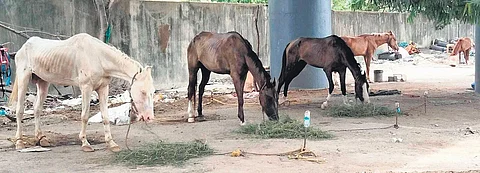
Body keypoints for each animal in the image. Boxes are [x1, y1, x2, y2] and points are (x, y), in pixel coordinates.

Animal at [7, 33, 156, 152]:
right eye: (143, 92)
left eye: (152, 92)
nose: (149, 117)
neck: (98, 57)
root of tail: (22, 49)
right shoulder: (86, 88)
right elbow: (84, 116)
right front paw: (85, 143)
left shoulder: (103, 88)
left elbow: (105, 116)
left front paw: (111, 143)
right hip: (23, 78)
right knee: (19, 110)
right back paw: (19, 142)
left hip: (43, 82)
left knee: (37, 109)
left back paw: (41, 138)